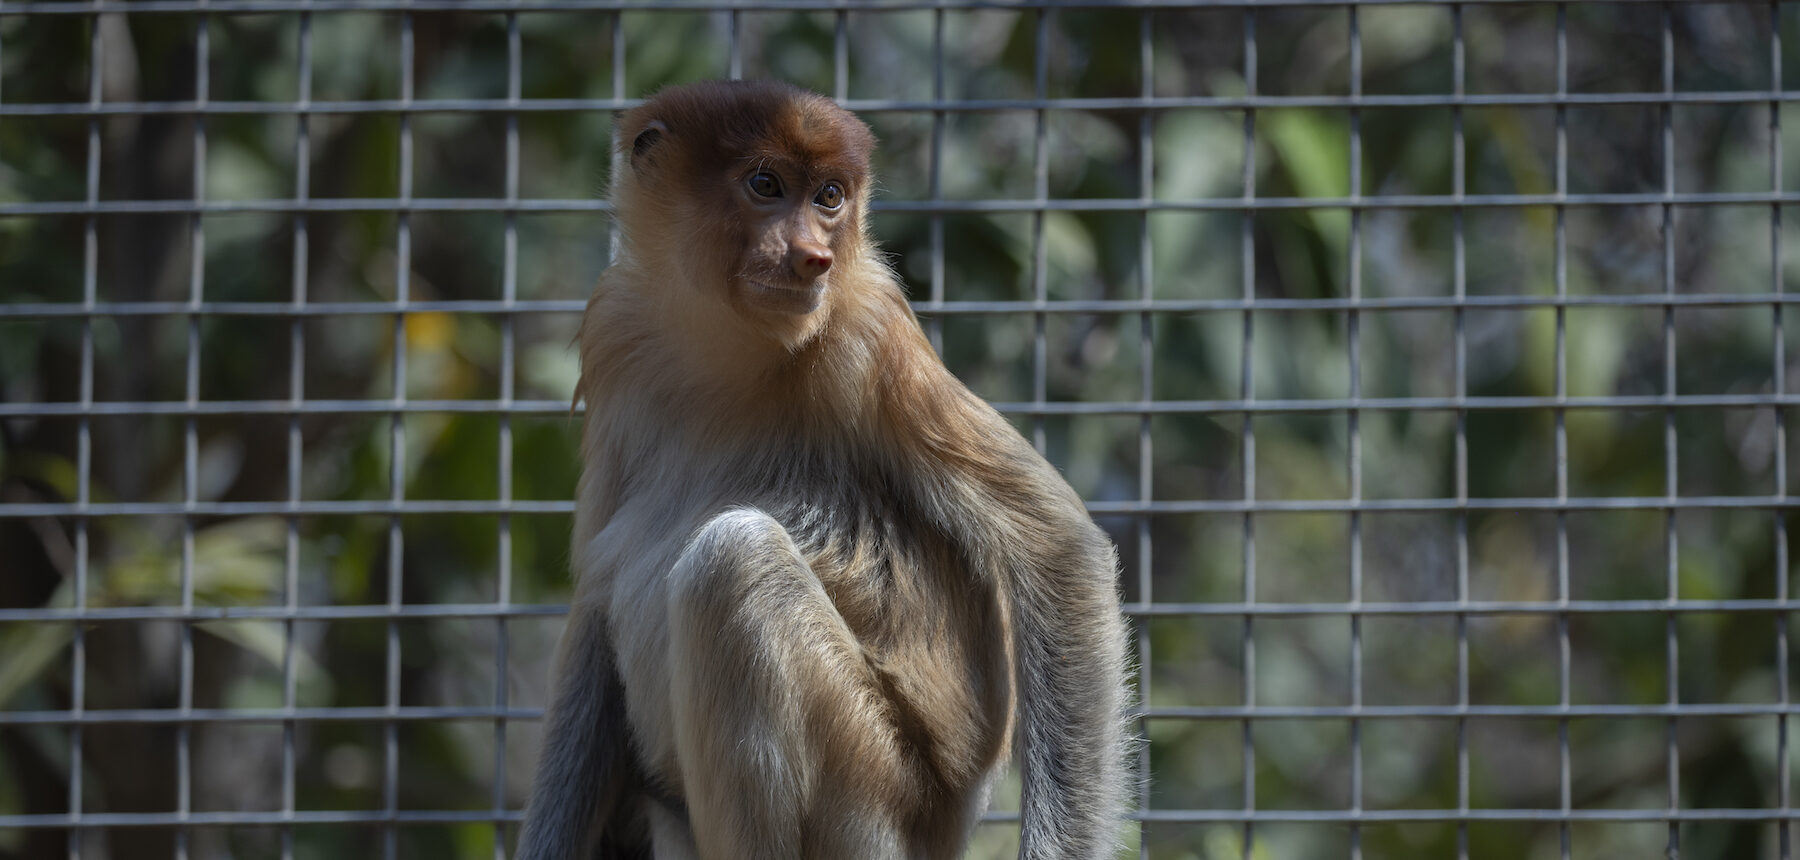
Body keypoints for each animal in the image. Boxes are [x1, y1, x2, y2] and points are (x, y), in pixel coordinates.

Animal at [516, 79, 1129, 860]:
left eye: (830, 196)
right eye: (765, 185)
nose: (813, 256)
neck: (718, 343)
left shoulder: (866, 332)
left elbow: (1056, 548)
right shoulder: (616, 331)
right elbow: (596, 598)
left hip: (872, 795)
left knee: (732, 559)